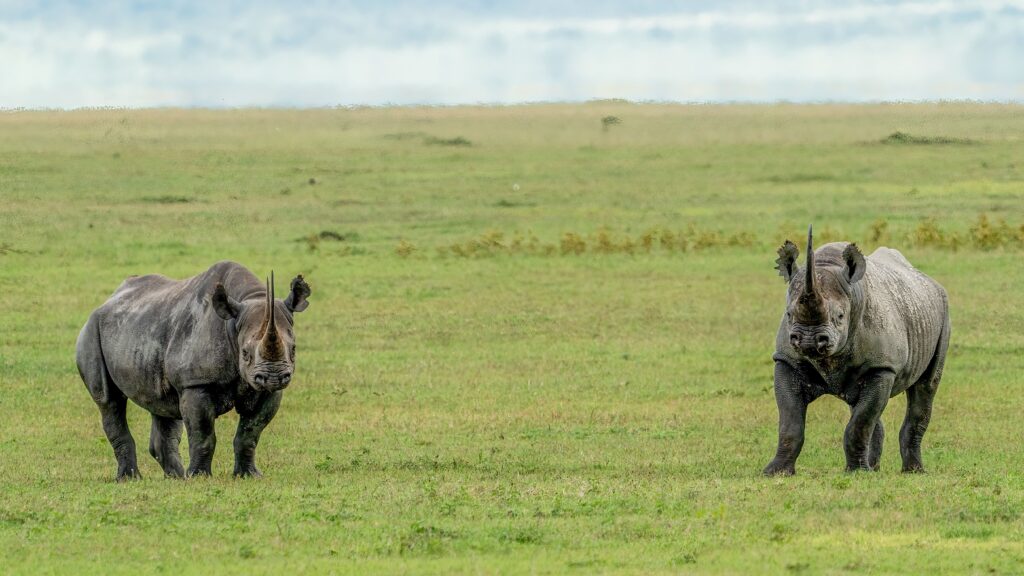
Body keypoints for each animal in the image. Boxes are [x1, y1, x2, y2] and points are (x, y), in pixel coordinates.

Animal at [75, 261, 311, 480]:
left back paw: (177, 478)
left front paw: (249, 476)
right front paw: (199, 477)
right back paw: (130, 479)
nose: (274, 377)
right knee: (109, 401)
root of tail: (108, 300)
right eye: (245, 353)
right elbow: (203, 434)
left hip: (145, 329)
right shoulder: (195, 383)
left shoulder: (266, 391)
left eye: (294, 349)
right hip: (91, 331)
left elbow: (250, 433)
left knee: (163, 405)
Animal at [763, 227, 949, 475]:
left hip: (943, 312)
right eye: (789, 314)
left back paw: (913, 471)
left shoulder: (882, 367)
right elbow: (790, 421)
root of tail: (929, 281)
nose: (809, 341)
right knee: (863, 405)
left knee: (925, 387)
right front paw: (775, 472)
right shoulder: (787, 360)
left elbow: (861, 422)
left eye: (840, 316)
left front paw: (858, 472)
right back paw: (875, 467)